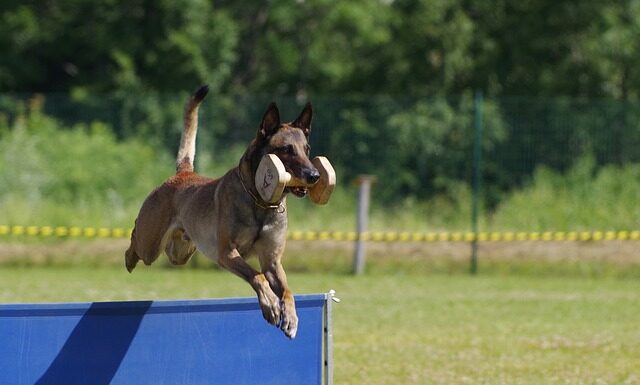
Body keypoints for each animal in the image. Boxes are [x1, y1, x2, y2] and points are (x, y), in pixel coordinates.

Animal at [125, 85, 322, 336]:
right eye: (286, 149)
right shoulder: (227, 253)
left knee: (170, 250)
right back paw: (129, 258)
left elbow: (286, 290)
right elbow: (257, 276)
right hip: (150, 244)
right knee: (136, 239)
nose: (314, 175)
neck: (260, 202)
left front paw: (290, 317)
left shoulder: (272, 261)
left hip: (182, 251)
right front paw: (270, 304)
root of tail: (184, 172)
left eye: (307, 149)